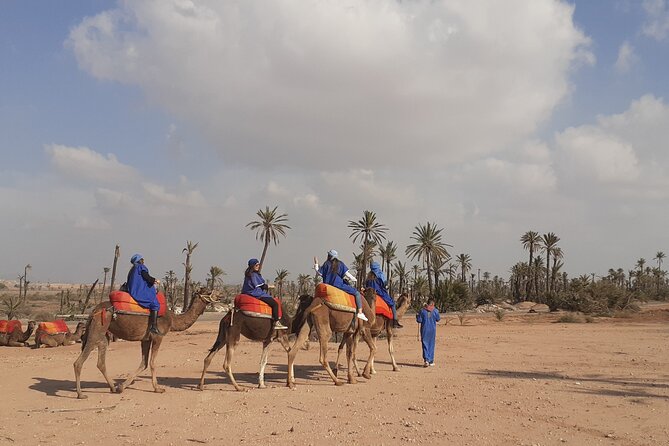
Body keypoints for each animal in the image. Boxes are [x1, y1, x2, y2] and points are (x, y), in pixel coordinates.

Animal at [73, 290, 219, 400]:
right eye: (208, 291)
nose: (219, 295)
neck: (172, 319)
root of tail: (94, 311)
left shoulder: (146, 339)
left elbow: (144, 363)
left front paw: (121, 387)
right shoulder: (158, 336)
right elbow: (153, 363)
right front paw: (158, 388)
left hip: (102, 333)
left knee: (101, 362)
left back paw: (113, 388)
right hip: (98, 328)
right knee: (79, 362)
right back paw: (81, 394)